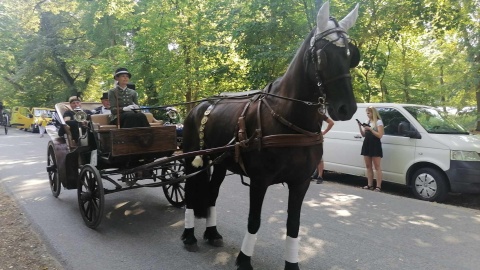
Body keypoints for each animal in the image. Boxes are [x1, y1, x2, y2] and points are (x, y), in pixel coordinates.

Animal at [181, 2, 360, 270]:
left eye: (351, 56)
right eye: (322, 56)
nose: (346, 108)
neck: (290, 123)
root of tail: (199, 106)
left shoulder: (301, 182)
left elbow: (294, 226)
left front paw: (292, 264)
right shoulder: (259, 180)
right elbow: (254, 220)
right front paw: (244, 260)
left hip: (220, 163)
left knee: (211, 194)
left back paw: (212, 233)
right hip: (192, 160)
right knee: (191, 194)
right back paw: (189, 235)